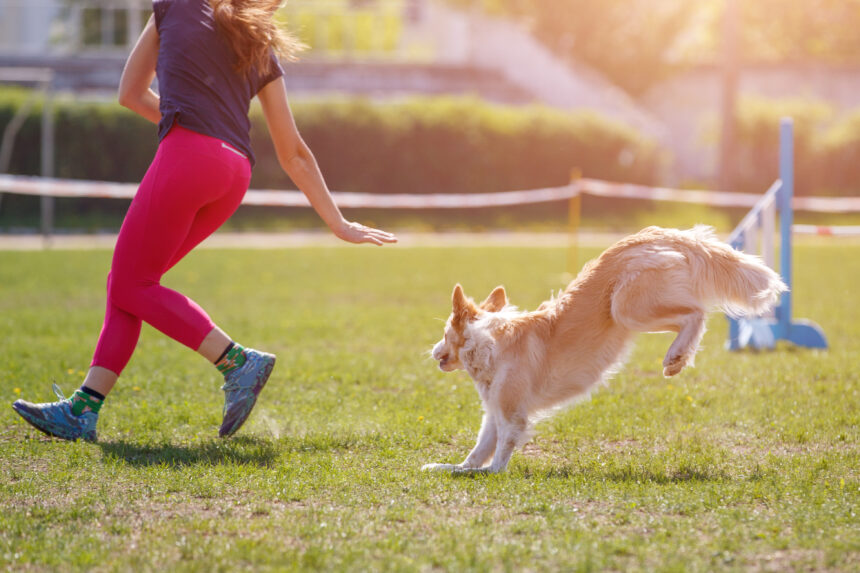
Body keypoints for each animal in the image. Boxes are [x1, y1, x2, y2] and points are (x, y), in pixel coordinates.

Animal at [424, 225, 788, 474]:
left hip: (627, 308)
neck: (487, 341)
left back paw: (676, 357)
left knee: (696, 313)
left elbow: (499, 456)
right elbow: (477, 451)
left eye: (444, 332)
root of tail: (652, 235)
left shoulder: (512, 414)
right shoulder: (494, 410)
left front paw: (488, 473)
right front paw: (450, 468)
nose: (433, 351)